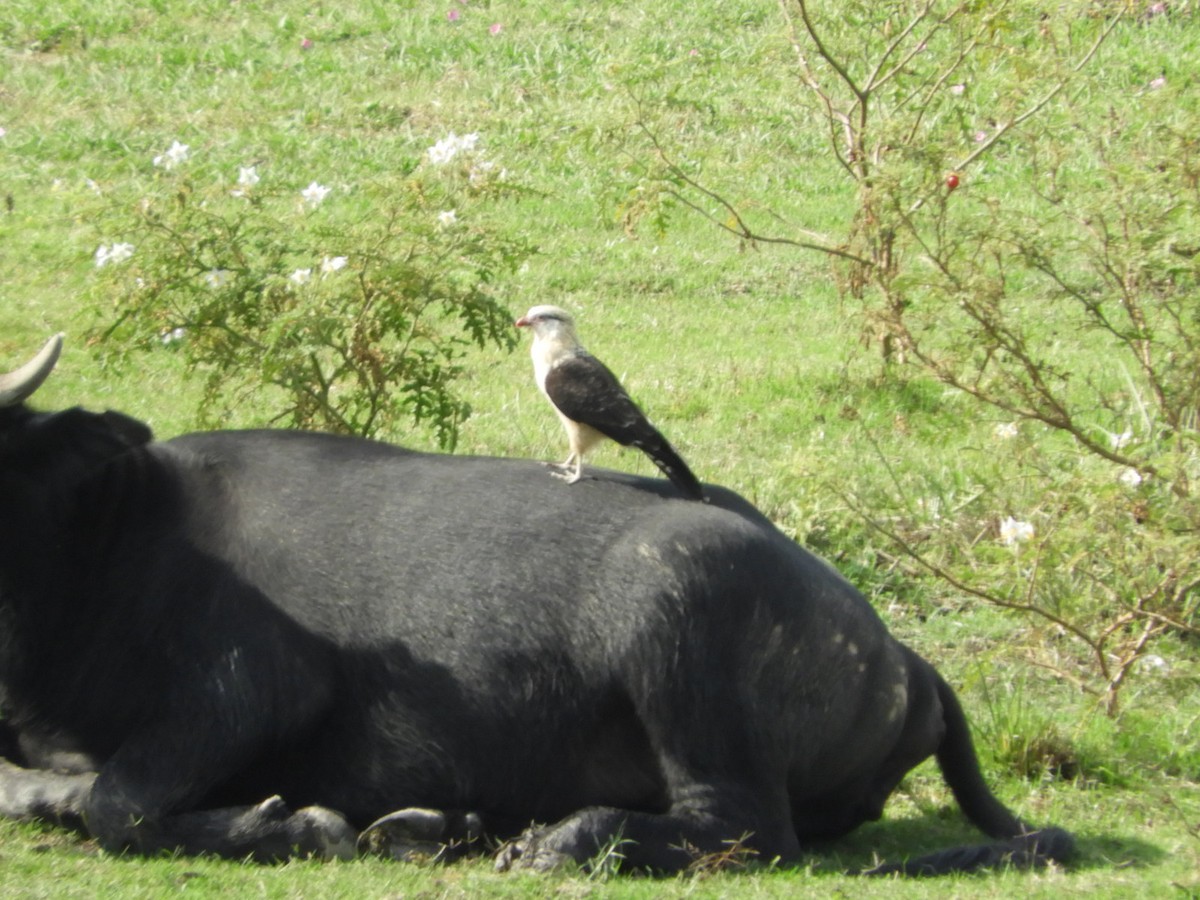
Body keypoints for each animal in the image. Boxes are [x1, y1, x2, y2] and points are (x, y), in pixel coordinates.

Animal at [0, 336, 1075, 873]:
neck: (110, 540)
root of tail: (901, 658)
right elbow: (46, 789)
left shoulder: (257, 681)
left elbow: (121, 802)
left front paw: (289, 824)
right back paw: (437, 825)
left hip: (676, 619)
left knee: (746, 830)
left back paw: (553, 837)